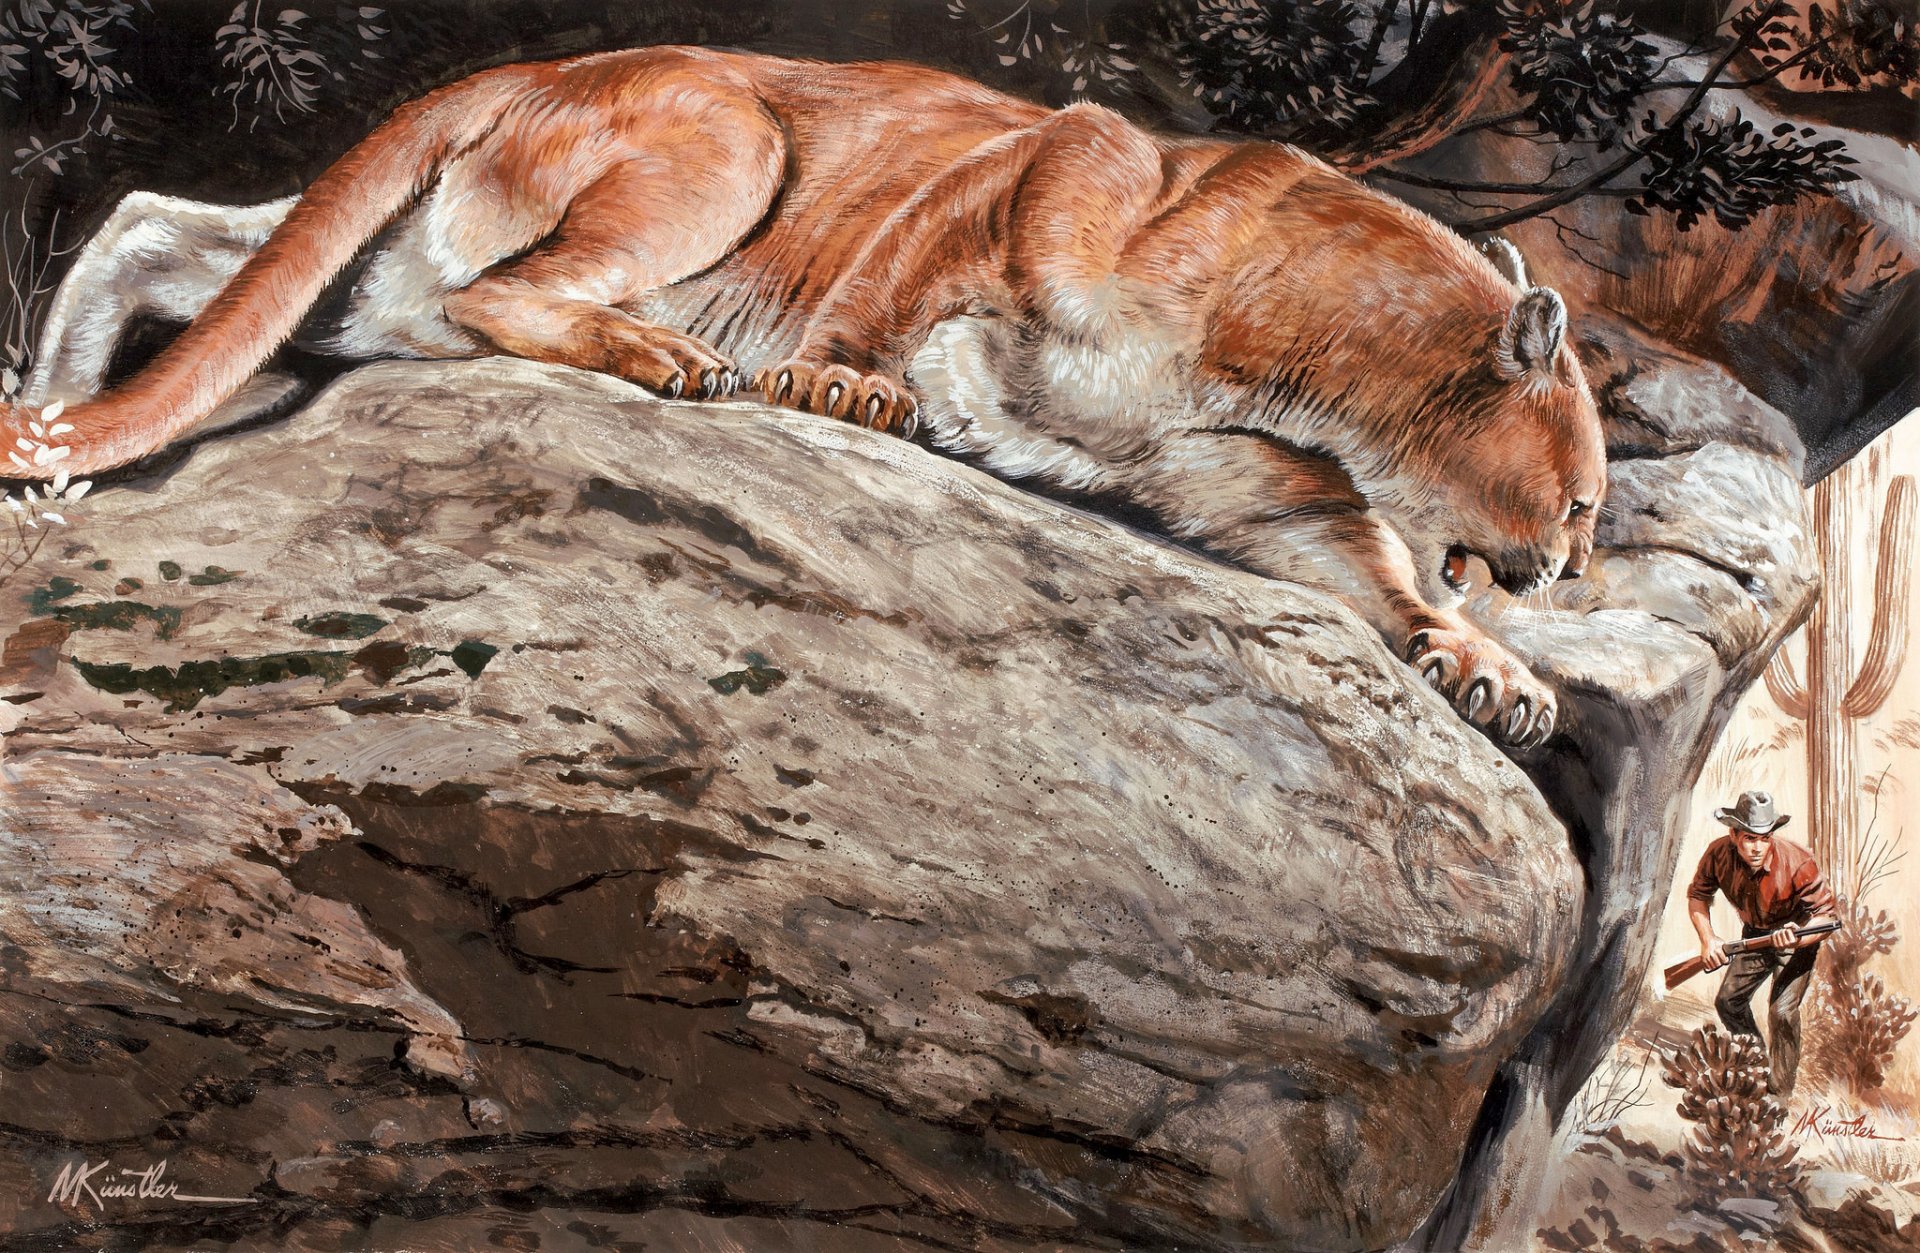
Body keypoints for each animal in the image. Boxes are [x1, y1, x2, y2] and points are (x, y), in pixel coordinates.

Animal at [8, 45, 1604, 747]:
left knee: (171, 229)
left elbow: (1373, 567)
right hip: (726, 138)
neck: (1292, 362)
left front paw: (1488, 668)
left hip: (378, 284)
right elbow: (888, 286)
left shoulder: (1254, 486)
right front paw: (841, 382)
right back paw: (675, 357)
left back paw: (53, 432)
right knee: (500, 290)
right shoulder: (1028, 169)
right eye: (1585, 497)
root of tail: (517, 66)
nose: (1569, 567)